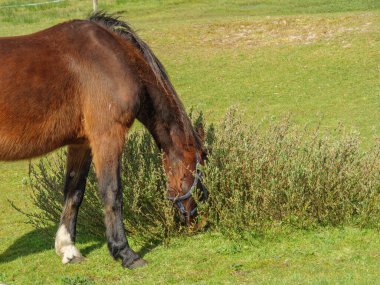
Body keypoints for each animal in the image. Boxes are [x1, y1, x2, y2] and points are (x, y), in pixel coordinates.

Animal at [0, 12, 206, 268]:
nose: (198, 220)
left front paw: (68, 248)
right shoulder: (108, 135)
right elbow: (112, 191)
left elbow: (74, 190)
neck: (113, 57)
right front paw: (125, 253)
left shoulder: (82, 142)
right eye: (202, 163)